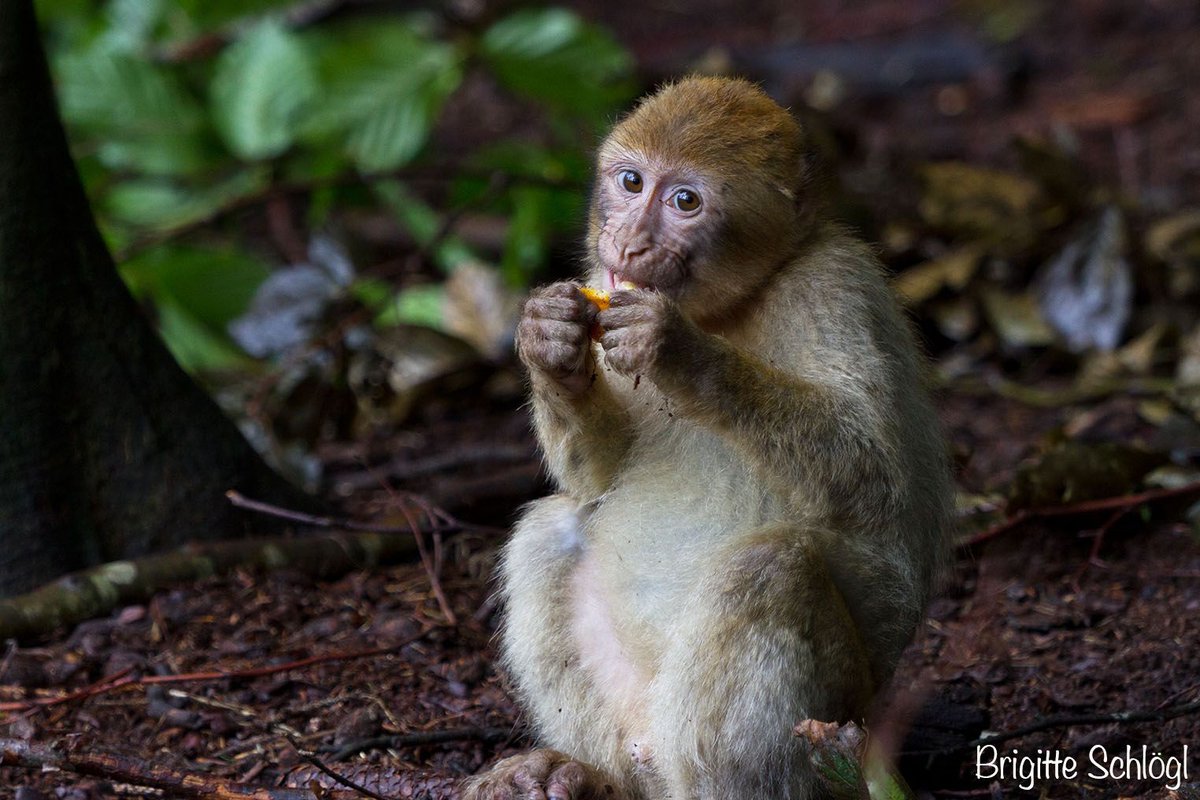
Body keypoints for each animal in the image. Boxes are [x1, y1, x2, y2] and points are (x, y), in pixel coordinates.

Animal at [462, 76, 952, 800]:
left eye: (685, 201)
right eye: (631, 182)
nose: (628, 241)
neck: (729, 306)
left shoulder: (834, 288)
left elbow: (873, 477)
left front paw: (680, 352)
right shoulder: (604, 286)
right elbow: (597, 476)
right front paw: (550, 344)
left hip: (838, 719)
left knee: (767, 568)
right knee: (551, 530)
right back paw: (585, 774)